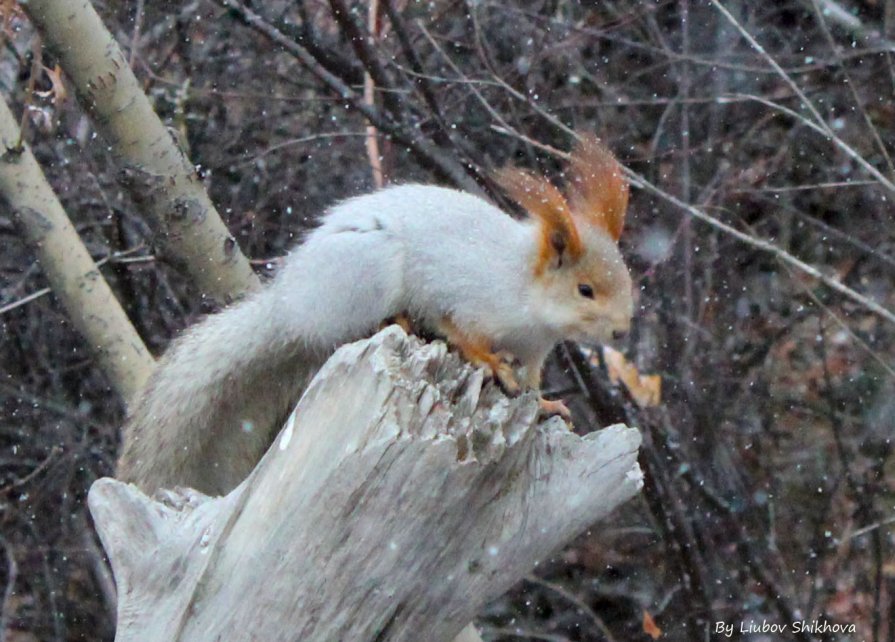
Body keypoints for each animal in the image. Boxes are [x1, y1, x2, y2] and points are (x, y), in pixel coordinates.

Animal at [119, 135, 632, 496]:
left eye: (626, 279)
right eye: (585, 290)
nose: (622, 329)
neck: (526, 294)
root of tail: (289, 306)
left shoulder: (534, 350)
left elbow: (531, 384)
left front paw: (546, 406)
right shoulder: (461, 296)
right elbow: (458, 331)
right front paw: (487, 361)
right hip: (368, 272)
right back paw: (395, 322)